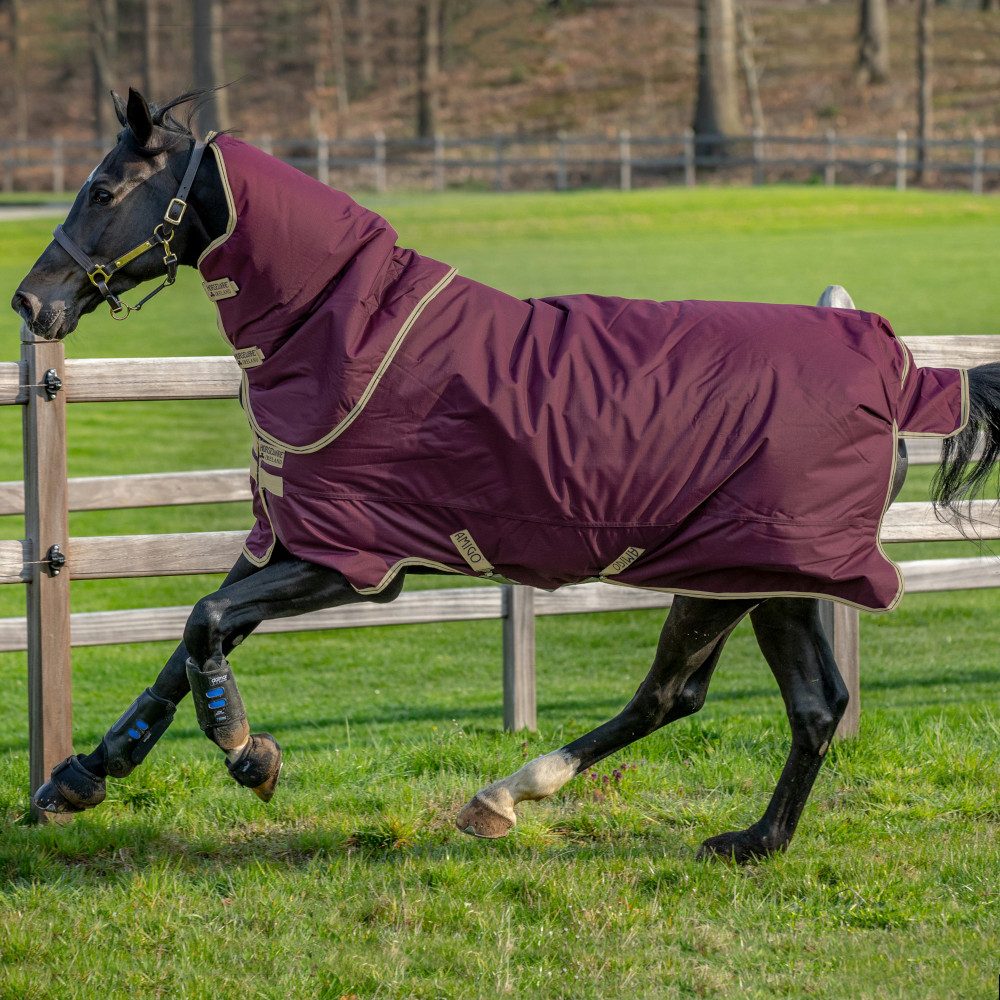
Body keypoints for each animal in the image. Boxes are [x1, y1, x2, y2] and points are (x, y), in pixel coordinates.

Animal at [12, 89, 1000, 863]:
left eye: (104, 189)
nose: (32, 301)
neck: (351, 333)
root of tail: (902, 376)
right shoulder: (289, 542)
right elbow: (185, 643)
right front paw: (79, 777)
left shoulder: (355, 563)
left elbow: (205, 624)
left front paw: (246, 750)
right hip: (760, 578)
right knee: (792, 705)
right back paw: (740, 839)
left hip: (742, 572)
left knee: (696, 697)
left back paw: (517, 797)